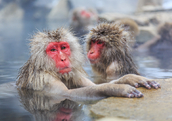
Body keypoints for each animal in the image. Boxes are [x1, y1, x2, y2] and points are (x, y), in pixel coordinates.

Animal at [16, 27, 150, 99]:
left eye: (63, 48)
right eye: (53, 50)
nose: (63, 59)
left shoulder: (74, 74)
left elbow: (93, 86)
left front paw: (130, 78)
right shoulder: (45, 79)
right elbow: (67, 94)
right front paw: (116, 88)